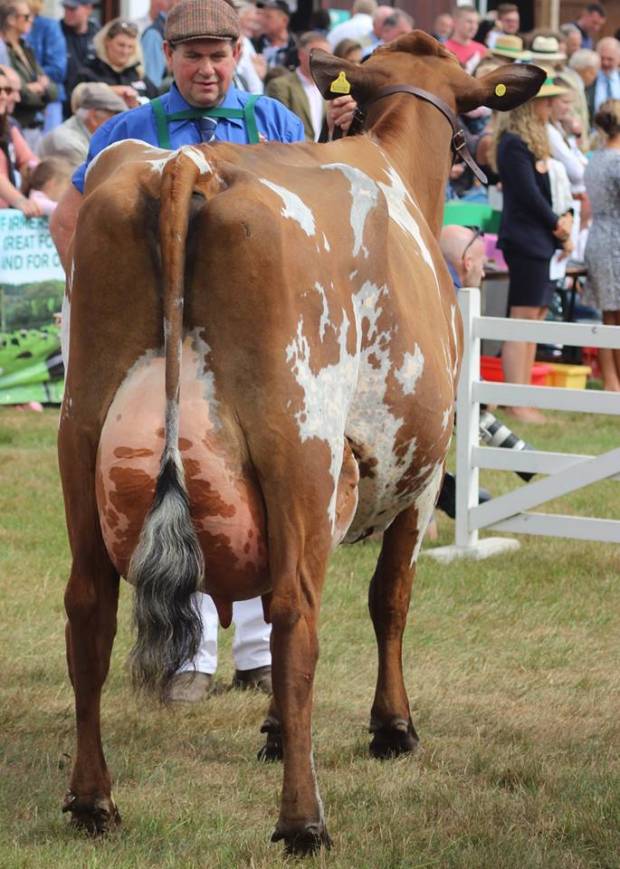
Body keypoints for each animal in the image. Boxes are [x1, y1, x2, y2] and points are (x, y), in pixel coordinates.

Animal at [58, 34, 544, 856]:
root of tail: (190, 165)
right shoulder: (423, 472)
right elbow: (391, 598)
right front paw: (392, 726)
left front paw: (278, 731)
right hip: (302, 450)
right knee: (296, 615)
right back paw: (303, 819)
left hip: (82, 434)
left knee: (89, 608)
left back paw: (94, 801)